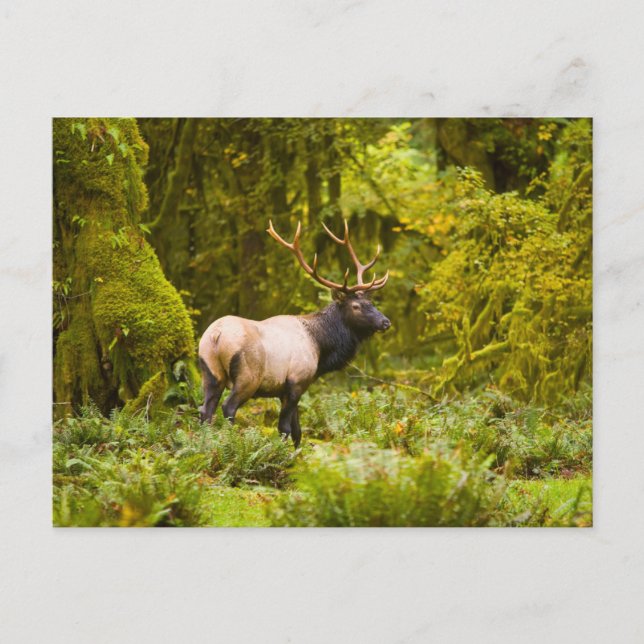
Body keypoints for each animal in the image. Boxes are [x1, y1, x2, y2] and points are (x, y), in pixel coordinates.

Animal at [198, 219, 391, 447]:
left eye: (371, 302)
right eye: (356, 306)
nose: (385, 322)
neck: (321, 347)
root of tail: (216, 335)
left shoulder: (288, 389)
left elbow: (298, 431)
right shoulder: (297, 381)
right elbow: (285, 428)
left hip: (210, 371)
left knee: (205, 411)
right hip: (248, 375)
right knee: (228, 407)